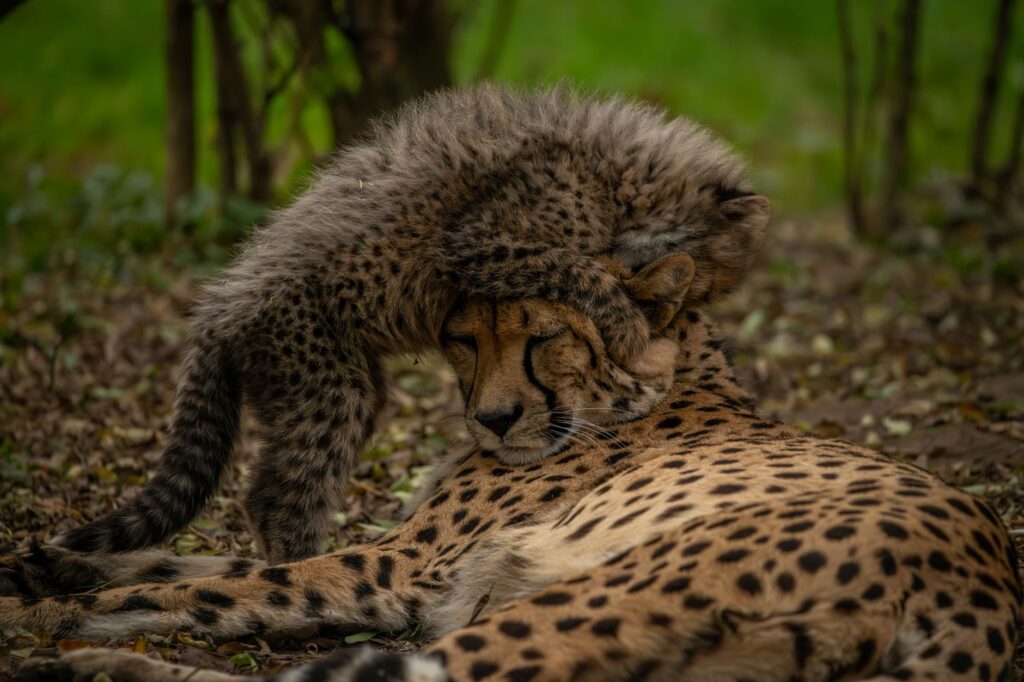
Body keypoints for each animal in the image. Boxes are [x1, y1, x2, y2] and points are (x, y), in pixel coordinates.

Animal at [6, 251, 1020, 682]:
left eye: (544, 339)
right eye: (462, 337)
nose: (492, 418)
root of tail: (989, 574)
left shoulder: (405, 567)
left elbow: (237, 581)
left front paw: (49, 613)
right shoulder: (406, 559)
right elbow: (205, 563)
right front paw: (52, 568)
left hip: (598, 593)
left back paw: (85, 665)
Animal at [51, 83, 772, 564]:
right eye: (707, 280)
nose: (673, 300)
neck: (623, 173)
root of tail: (218, 307)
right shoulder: (482, 242)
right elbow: (580, 275)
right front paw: (632, 334)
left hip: (350, 384)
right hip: (325, 386)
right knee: (278, 498)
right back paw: (298, 568)